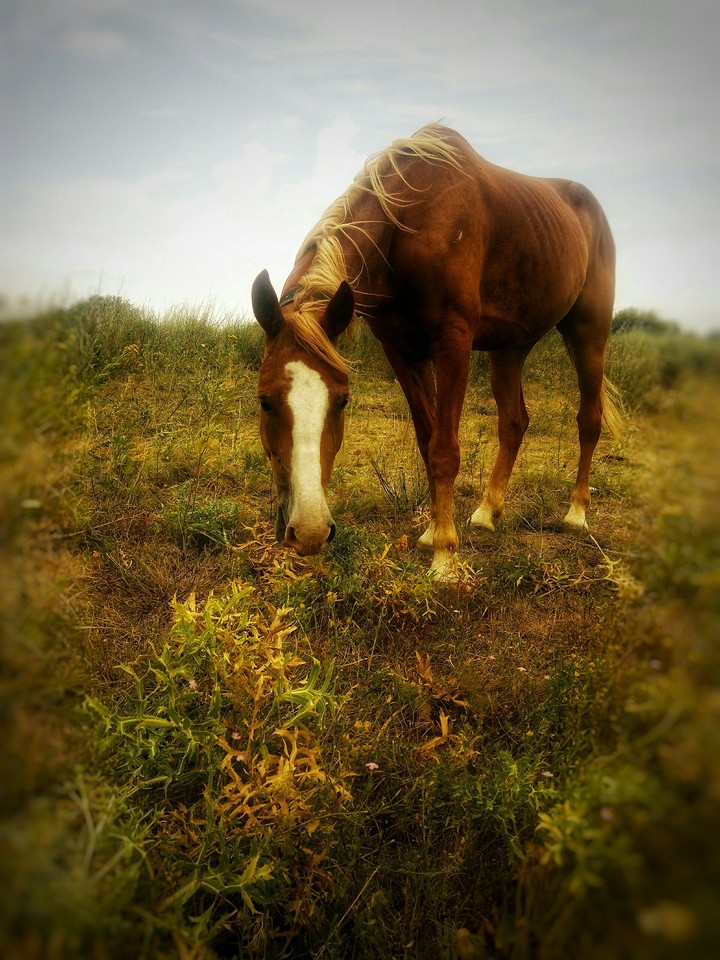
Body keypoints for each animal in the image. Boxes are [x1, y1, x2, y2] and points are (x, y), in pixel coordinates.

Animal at [252, 124, 621, 578]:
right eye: (264, 401)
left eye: (342, 400)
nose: (309, 531)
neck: (408, 225)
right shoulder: (401, 350)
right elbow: (427, 440)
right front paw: (432, 532)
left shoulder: (452, 341)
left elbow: (444, 450)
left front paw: (445, 555)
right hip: (510, 348)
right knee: (514, 422)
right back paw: (487, 511)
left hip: (588, 333)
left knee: (589, 419)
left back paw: (576, 513)